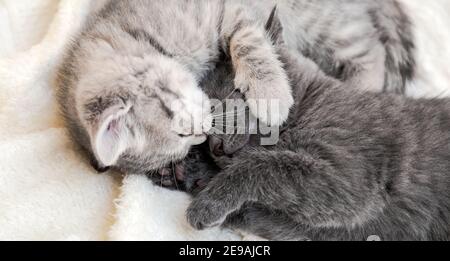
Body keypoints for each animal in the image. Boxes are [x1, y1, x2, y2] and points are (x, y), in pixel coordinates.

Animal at [56, 0, 414, 175]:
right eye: (183, 143)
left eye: (183, 132)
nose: (203, 134)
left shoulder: (224, 9)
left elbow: (250, 40)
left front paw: (272, 93)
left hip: (321, 21)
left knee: (371, 52)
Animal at [156, 16, 448, 240]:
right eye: (204, 138)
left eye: (234, 93)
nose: (215, 146)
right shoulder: (315, 226)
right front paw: (184, 172)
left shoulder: (349, 178)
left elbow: (264, 166)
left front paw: (206, 203)